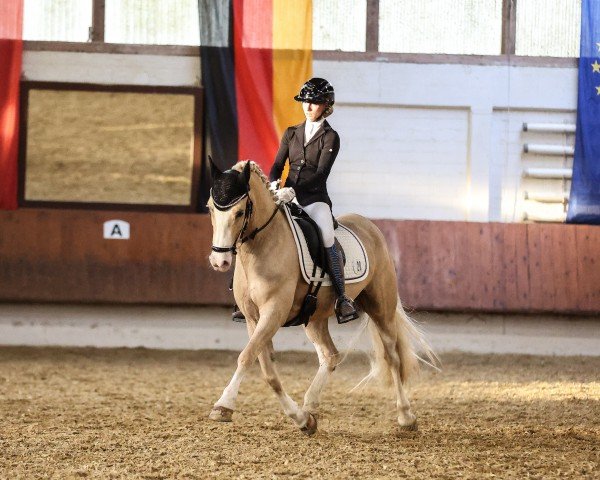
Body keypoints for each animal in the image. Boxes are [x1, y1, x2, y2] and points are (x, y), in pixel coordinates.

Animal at [206, 159, 436, 434]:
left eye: (240, 213)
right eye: (210, 209)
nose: (219, 261)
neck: (262, 246)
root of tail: (369, 225)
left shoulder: (273, 312)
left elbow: (246, 357)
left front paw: (223, 405)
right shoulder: (253, 319)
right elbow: (266, 369)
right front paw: (301, 418)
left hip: (381, 308)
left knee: (392, 357)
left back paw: (406, 416)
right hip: (315, 318)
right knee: (330, 355)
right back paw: (309, 407)